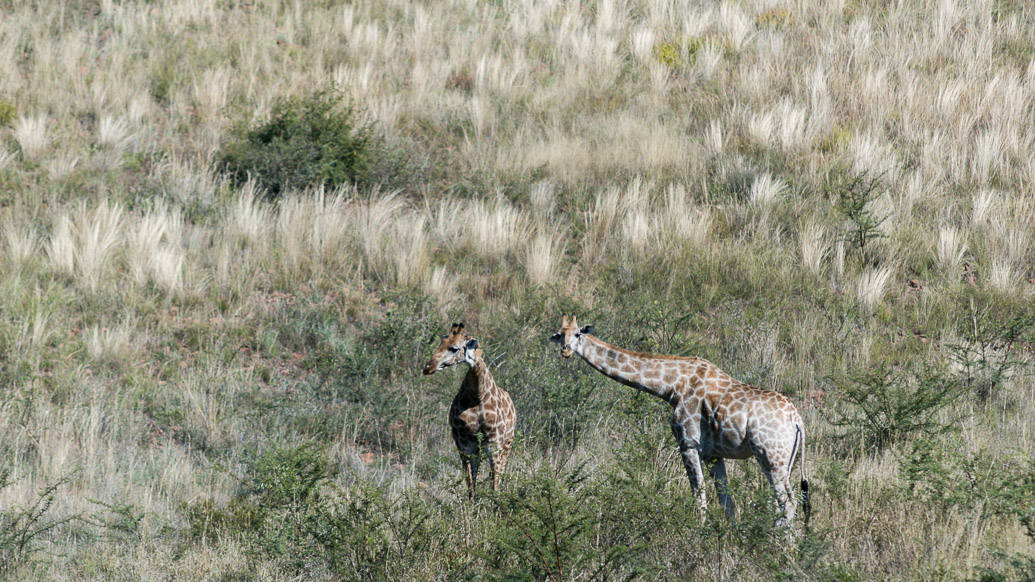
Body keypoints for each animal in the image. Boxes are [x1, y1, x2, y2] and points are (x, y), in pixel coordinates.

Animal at [422, 318, 515, 497]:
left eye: (454, 348)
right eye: (440, 343)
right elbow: (471, 486)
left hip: (507, 444)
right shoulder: (464, 444)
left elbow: (494, 486)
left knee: (500, 476)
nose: (428, 367)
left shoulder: (494, 443)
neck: (478, 396)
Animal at [550, 314, 807, 524]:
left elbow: (699, 498)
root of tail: (797, 420)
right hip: (785, 460)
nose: (565, 350)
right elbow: (727, 504)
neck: (672, 386)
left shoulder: (688, 443)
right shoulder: (713, 454)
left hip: (771, 456)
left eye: (577, 334)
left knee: (788, 504)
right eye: (559, 335)